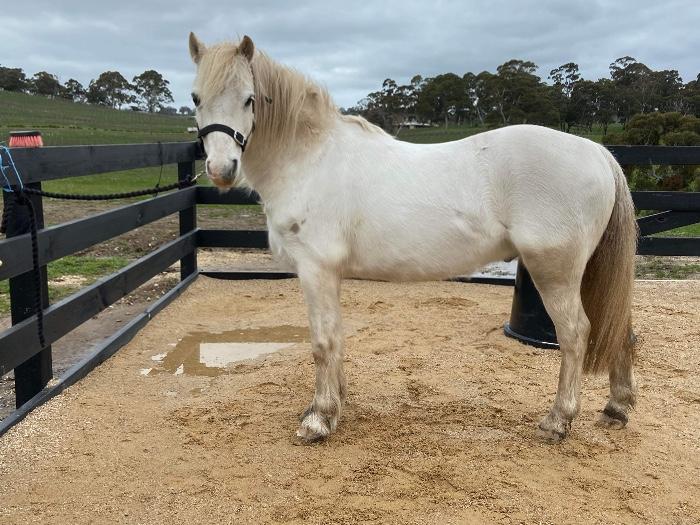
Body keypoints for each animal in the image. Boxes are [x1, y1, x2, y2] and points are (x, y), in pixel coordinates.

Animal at [187, 33, 638, 444]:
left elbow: (322, 341)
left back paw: (558, 420)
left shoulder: (315, 270)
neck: (311, 159)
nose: (222, 169)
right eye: (195, 98)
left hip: (555, 272)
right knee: (620, 327)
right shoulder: (330, 274)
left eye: (249, 99)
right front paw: (336, 405)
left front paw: (318, 419)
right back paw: (616, 407)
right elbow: (337, 337)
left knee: (576, 334)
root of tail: (598, 152)